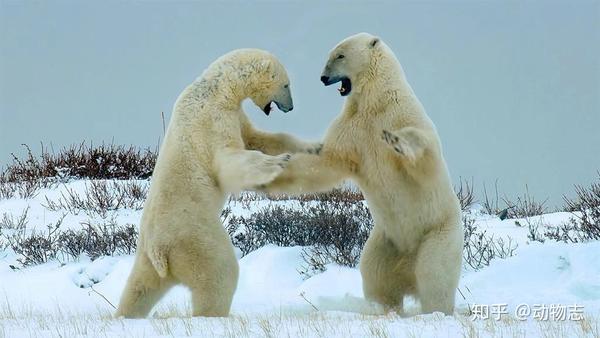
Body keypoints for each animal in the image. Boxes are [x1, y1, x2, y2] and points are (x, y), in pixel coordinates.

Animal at [117, 48, 322, 318]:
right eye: (286, 84)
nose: (290, 107)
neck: (217, 88)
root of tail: (159, 251)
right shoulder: (211, 118)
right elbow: (229, 160)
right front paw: (277, 163)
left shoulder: (235, 113)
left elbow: (259, 138)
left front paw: (314, 146)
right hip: (194, 235)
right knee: (218, 272)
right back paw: (214, 314)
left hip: (146, 257)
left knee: (139, 288)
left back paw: (124, 314)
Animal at [262, 33, 464, 316]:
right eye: (331, 54)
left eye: (340, 55)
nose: (323, 77)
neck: (376, 101)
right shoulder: (352, 128)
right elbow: (325, 161)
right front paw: (269, 172)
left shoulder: (402, 115)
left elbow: (424, 157)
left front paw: (397, 141)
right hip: (385, 243)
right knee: (376, 274)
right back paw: (382, 307)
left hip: (439, 233)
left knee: (434, 275)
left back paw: (434, 310)